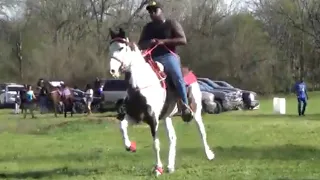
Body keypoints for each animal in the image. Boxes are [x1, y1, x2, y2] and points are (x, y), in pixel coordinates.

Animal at [108, 28, 215, 176]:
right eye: (110, 48)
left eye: (121, 47)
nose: (112, 70)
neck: (140, 86)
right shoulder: (135, 117)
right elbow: (122, 127)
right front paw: (130, 146)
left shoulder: (153, 120)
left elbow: (156, 144)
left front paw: (158, 168)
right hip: (166, 117)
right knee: (172, 138)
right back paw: (170, 166)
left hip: (195, 110)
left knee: (201, 131)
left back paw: (209, 154)